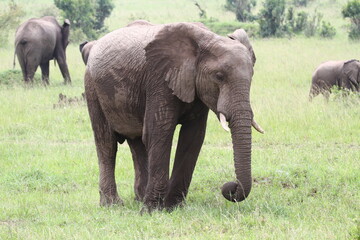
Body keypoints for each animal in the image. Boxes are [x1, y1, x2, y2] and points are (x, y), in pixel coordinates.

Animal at [84, 21, 264, 212]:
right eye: (219, 76)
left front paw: (173, 206)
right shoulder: (159, 78)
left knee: (137, 143)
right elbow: (159, 132)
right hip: (92, 86)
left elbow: (193, 137)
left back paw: (139, 198)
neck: (205, 40)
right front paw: (151, 211)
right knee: (106, 144)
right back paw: (112, 204)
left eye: (252, 76)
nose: (230, 187)